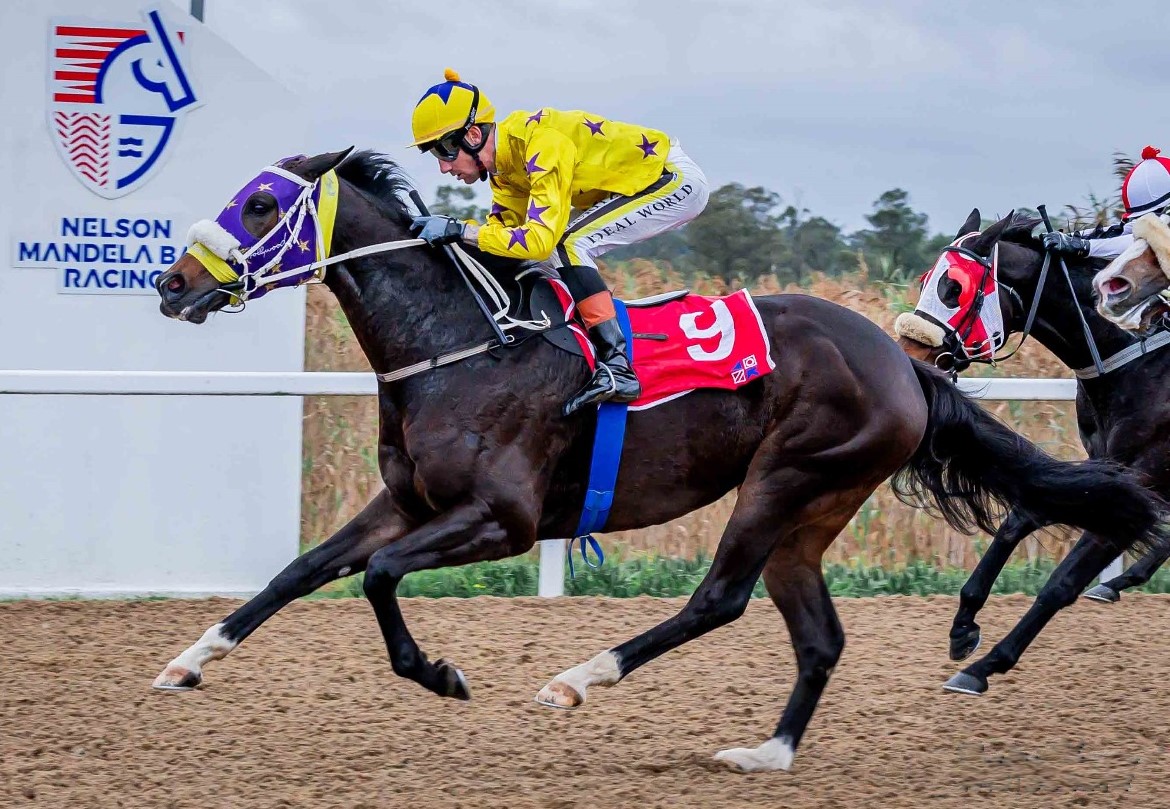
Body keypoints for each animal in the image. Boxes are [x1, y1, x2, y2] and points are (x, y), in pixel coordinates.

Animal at [898, 210, 1170, 683]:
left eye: (954, 289)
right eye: (924, 280)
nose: (909, 354)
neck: (1137, 358)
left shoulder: (1143, 476)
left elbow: (1062, 583)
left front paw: (985, 667)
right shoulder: (1103, 475)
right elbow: (1020, 517)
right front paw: (964, 625)